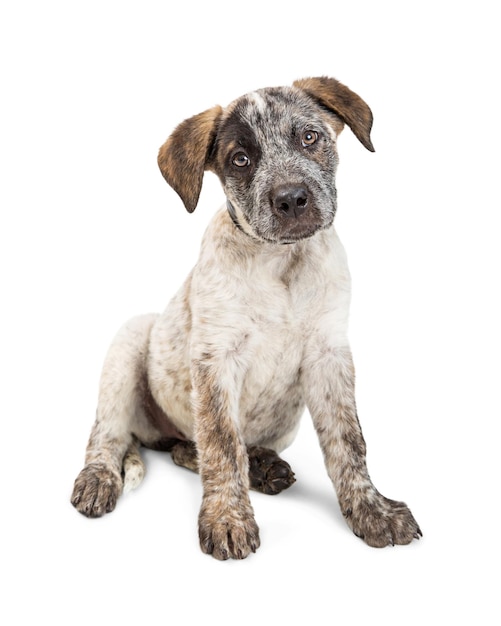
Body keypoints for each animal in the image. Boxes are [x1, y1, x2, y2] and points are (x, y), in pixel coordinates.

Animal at [71, 75, 422, 560]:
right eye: (241, 159)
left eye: (309, 137)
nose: (291, 199)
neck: (281, 262)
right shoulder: (215, 361)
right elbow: (221, 445)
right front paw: (227, 519)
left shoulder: (329, 356)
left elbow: (349, 442)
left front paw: (373, 510)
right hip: (129, 343)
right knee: (111, 434)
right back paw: (98, 478)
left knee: (193, 448)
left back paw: (263, 467)